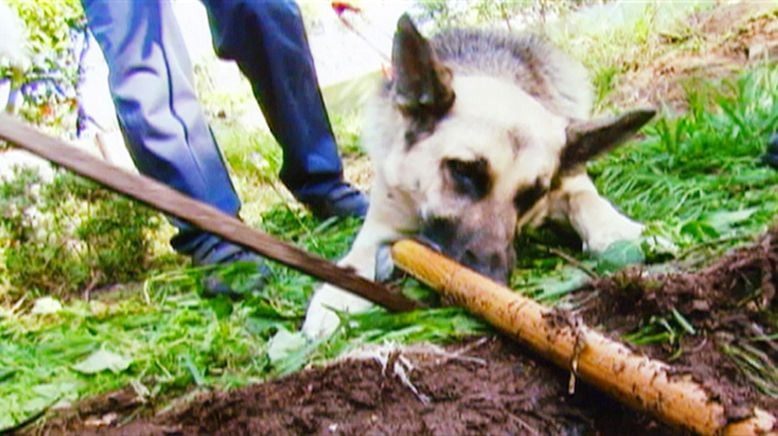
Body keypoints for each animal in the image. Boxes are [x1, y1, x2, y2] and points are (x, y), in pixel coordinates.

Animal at [300, 14, 652, 338]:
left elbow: (586, 198)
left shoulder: (569, 184)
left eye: (531, 195)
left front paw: (617, 230)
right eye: (463, 171)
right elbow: (358, 255)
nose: (491, 280)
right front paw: (338, 293)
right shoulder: (383, 220)